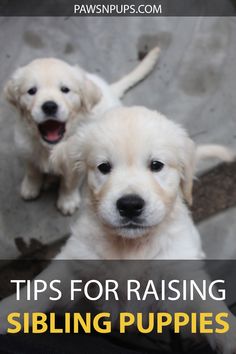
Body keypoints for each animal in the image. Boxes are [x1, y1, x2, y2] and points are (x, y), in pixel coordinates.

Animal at [0, 108, 235, 354]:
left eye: (156, 165)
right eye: (104, 167)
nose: (130, 205)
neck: (130, 246)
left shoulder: (180, 275)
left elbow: (208, 306)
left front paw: (230, 333)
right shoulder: (76, 260)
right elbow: (40, 288)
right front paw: (7, 311)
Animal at [4, 48, 160, 214]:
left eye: (65, 89)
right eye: (31, 91)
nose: (49, 106)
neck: (52, 147)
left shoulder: (76, 164)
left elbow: (69, 183)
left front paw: (67, 201)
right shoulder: (26, 148)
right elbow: (32, 171)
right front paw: (30, 188)